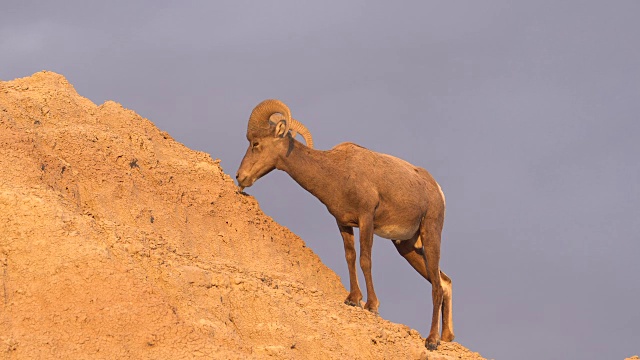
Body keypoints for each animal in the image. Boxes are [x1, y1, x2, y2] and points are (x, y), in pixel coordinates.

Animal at [236, 98, 456, 348]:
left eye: (255, 143)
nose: (240, 177)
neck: (337, 172)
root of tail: (436, 189)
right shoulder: (343, 224)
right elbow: (350, 257)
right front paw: (353, 299)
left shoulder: (366, 218)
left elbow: (365, 260)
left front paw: (372, 305)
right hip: (407, 247)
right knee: (444, 281)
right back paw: (447, 337)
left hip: (430, 234)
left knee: (437, 286)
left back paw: (432, 341)